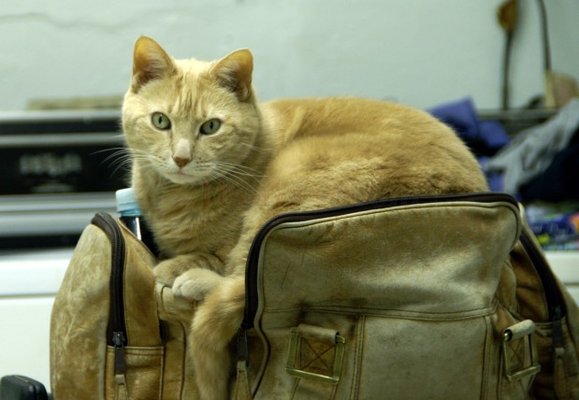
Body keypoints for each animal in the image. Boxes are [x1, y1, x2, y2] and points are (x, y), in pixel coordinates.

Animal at [122, 36, 490, 398]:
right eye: (160, 121)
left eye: (211, 127)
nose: (181, 158)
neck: (169, 195)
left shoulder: (228, 245)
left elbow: (219, 260)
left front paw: (174, 266)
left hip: (293, 171)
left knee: (248, 282)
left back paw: (193, 281)